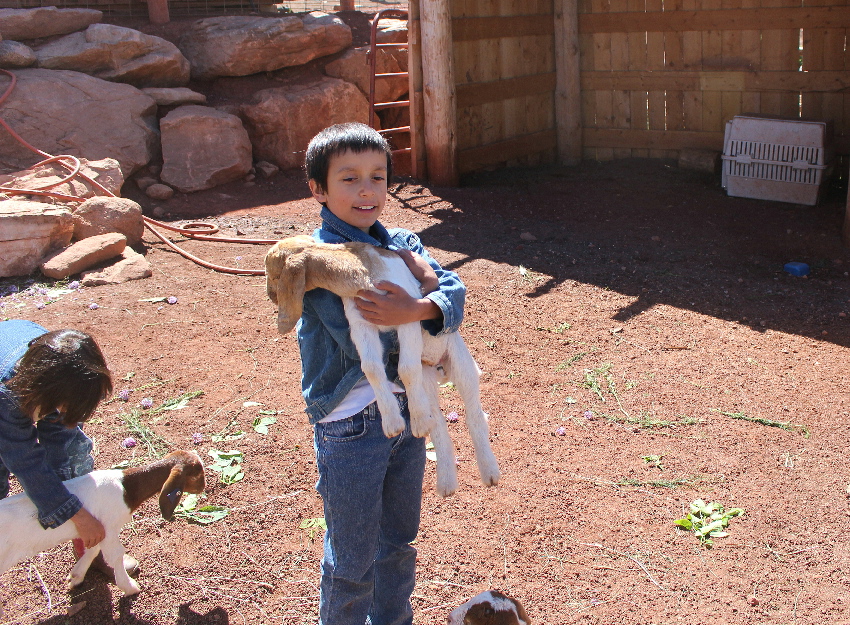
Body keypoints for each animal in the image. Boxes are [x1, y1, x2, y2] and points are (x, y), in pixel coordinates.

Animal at [0, 450, 205, 615]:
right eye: (198, 472)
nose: (204, 487)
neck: (126, 488)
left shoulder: (96, 529)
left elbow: (92, 550)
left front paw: (76, 576)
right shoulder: (109, 528)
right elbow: (115, 555)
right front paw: (130, 587)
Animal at [265, 235, 500, 497]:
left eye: (274, 274)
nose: (271, 296)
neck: (367, 273)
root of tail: (440, 370)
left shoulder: (406, 313)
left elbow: (406, 368)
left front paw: (411, 422)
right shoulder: (360, 322)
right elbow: (372, 368)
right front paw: (392, 424)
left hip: (462, 363)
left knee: (475, 415)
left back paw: (489, 472)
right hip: (427, 380)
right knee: (438, 424)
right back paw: (445, 481)